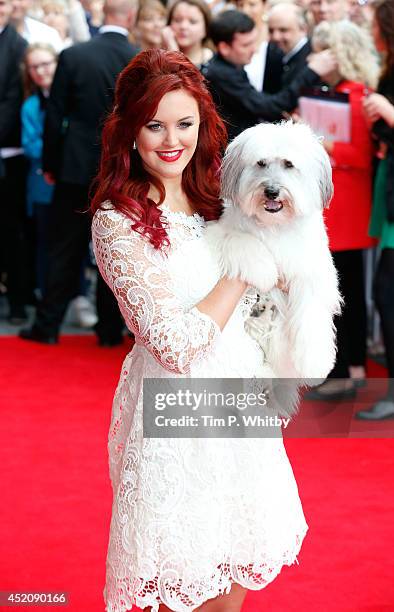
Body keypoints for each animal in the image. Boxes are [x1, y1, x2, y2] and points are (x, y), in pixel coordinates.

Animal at [209, 120, 342, 384]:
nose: (271, 191)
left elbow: (311, 313)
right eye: (261, 163)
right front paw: (264, 271)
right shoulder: (225, 230)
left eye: (288, 164)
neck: (275, 224)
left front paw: (314, 363)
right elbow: (245, 242)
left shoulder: (312, 269)